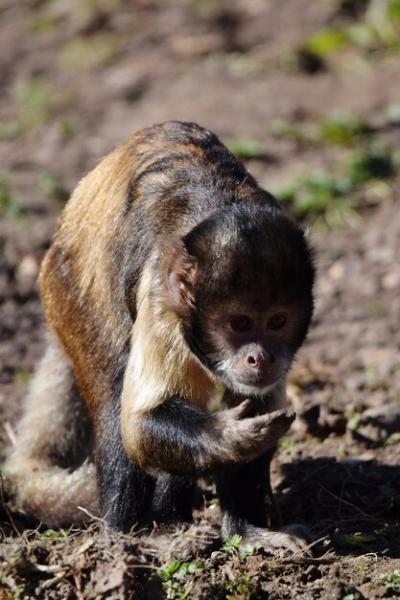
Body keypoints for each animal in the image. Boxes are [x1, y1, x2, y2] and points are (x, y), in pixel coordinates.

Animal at [3, 122, 316, 552]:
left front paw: (246, 530)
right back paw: (127, 536)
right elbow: (139, 423)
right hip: (67, 287)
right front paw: (230, 436)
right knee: (114, 391)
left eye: (277, 322)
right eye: (239, 323)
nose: (260, 357)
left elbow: (260, 403)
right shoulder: (161, 293)